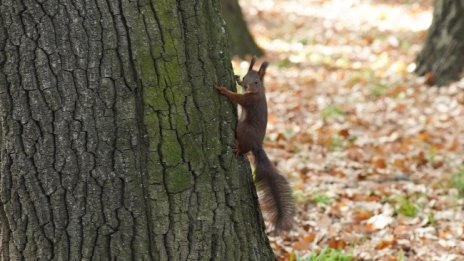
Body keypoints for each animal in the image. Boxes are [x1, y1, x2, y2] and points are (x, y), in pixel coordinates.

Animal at [216, 57, 296, 232]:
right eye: (246, 77)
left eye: (257, 82)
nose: (246, 86)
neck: (258, 92)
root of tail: (257, 145)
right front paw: (237, 79)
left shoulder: (250, 100)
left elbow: (237, 98)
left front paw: (224, 90)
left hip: (243, 128)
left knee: (244, 146)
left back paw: (238, 148)